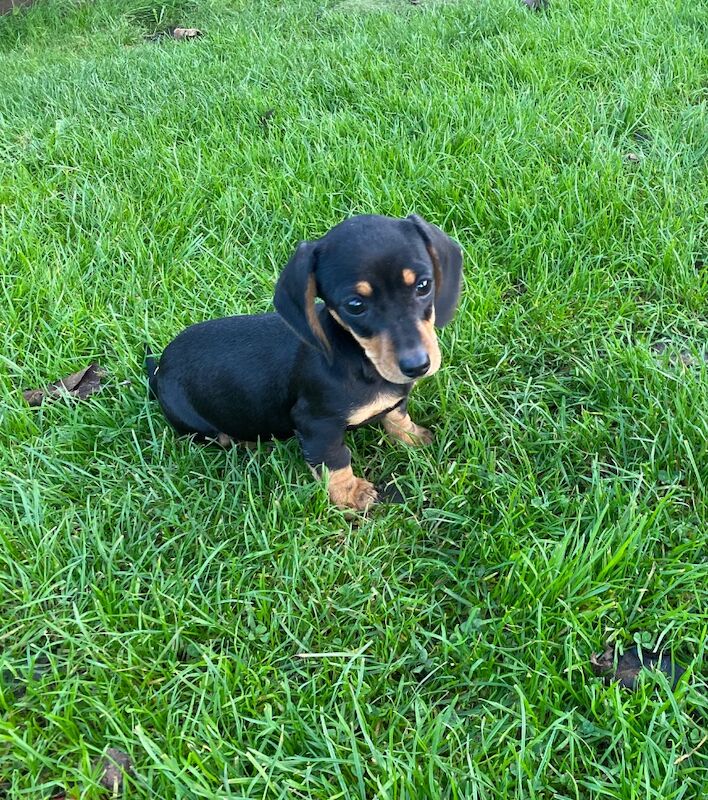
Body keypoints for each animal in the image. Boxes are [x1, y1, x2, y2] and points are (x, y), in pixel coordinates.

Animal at [147, 216, 462, 510]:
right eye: (355, 305)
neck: (361, 359)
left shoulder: (394, 402)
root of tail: (160, 368)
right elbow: (335, 460)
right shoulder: (317, 424)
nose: (417, 366)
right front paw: (351, 494)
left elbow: (397, 416)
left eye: (424, 285)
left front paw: (413, 437)